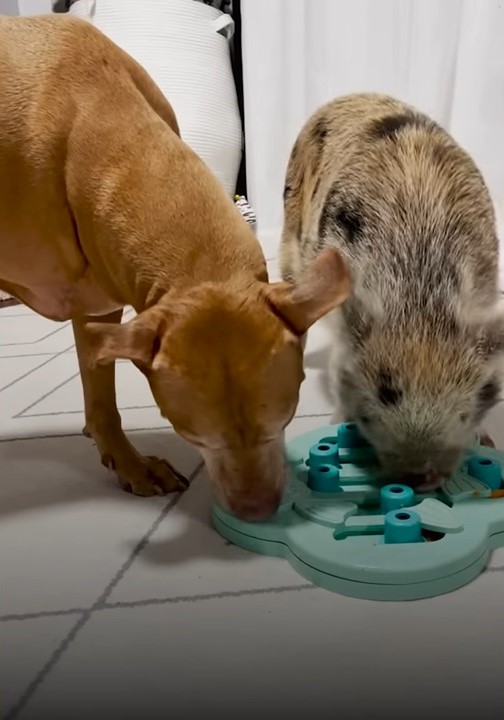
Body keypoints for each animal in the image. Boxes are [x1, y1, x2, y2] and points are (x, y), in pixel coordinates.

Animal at [0, 14, 350, 520]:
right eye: (194, 435)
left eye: (283, 419)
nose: (256, 511)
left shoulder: (98, 305)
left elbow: (100, 391)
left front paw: (124, 459)